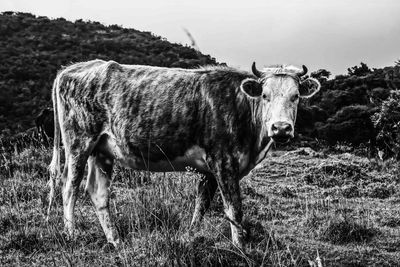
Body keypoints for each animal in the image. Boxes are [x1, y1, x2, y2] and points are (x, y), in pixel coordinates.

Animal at [47, 59, 322, 250]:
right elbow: (234, 209)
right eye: (265, 96)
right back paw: (71, 235)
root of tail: (73, 69)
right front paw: (240, 248)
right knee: (69, 187)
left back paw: (115, 241)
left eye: (295, 96)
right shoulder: (224, 161)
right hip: (79, 142)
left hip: (102, 151)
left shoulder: (209, 169)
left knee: (97, 192)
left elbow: (201, 205)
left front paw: (192, 236)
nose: (281, 128)